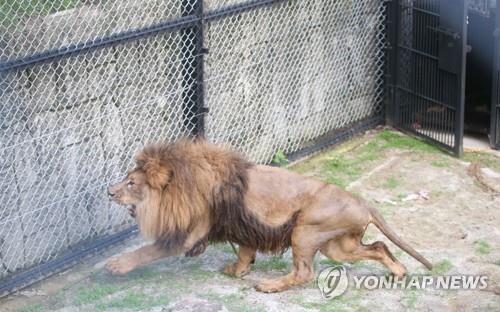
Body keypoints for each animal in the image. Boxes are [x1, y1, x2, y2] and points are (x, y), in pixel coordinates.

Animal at [106, 139, 434, 292]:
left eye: (131, 183)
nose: (109, 192)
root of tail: (362, 202)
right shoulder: (244, 227)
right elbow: (244, 252)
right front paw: (238, 270)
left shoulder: (190, 234)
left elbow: (148, 251)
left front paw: (117, 265)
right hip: (338, 247)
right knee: (378, 247)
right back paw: (398, 272)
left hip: (304, 231)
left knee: (304, 273)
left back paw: (269, 286)